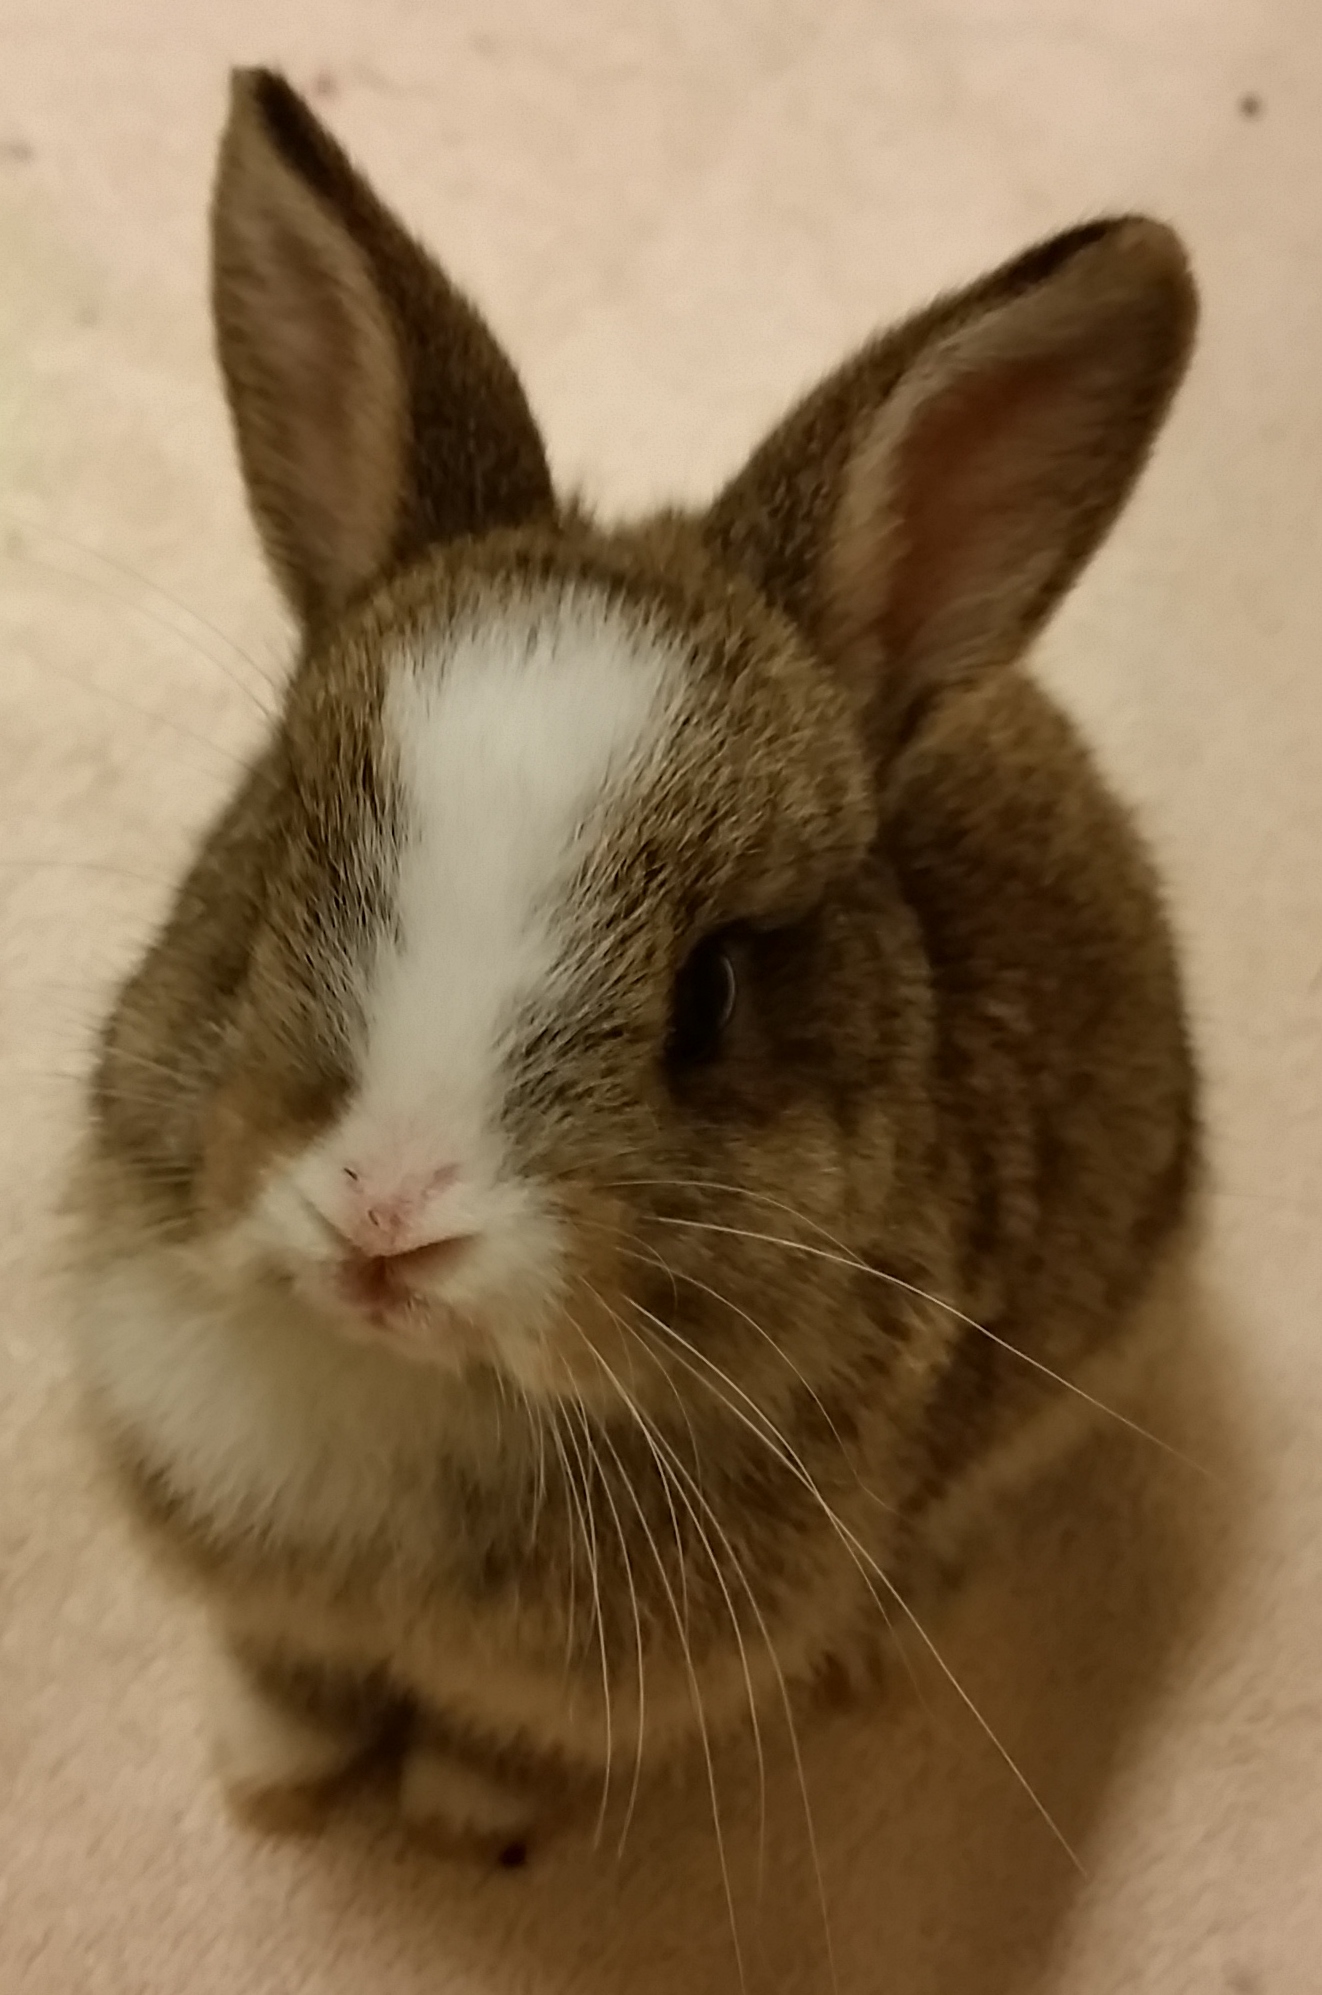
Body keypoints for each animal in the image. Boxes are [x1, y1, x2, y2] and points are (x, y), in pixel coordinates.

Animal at [64, 70, 1196, 1859]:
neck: (421, 1388)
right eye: (282, 861)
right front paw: (273, 1778)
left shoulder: (588, 1687)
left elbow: (505, 1740)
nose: (386, 1220)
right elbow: (288, 1664)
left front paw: (464, 1814)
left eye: (708, 996)